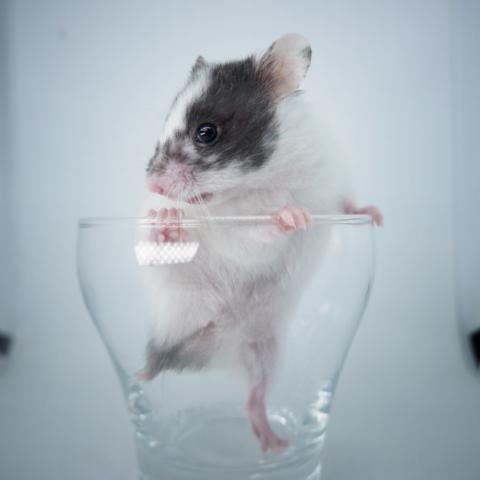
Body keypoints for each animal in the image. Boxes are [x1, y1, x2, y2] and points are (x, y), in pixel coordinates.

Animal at [138, 33, 382, 453]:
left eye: (206, 132)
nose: (153, 188)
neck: (265, 179)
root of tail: (211, 345)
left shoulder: (333, 183)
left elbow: (348, 205)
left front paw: (376, 216)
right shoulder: (238, 236)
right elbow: (256, 235)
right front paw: (292, 216)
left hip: (265, 352)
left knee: (255, 397)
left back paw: (274, 444)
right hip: (179, 302)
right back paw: (166, 225)